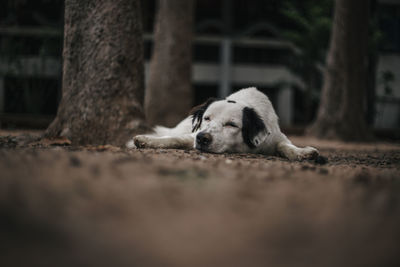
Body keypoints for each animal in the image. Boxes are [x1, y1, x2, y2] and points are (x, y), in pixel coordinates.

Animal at [128, 87, 318, 161]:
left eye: (231, 125)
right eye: (207, 118)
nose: (202, 138)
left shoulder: (277, 138)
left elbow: (285, 146)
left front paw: (302, 153)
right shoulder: (192, 134)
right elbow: (176, 139)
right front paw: (146, 140)